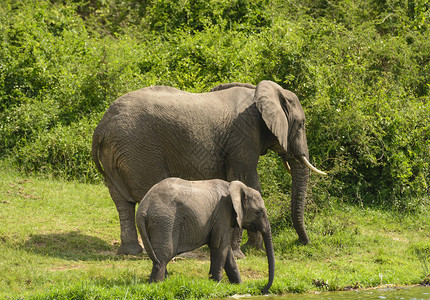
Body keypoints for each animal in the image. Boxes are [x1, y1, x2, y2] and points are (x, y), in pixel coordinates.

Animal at [91, 79, 326, 255]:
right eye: (301, 125)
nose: (302, 242)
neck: (260, 92)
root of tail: (101, 127)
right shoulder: (244, 136)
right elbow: (246, 181)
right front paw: (245, 251)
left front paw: (252, 248)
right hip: (139, 150)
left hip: (116, 152)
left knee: (122, 202)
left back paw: (130, 252)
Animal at [136, 178, 274, 292]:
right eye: (259, 212)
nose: (263, 290)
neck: (235, 187)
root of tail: (144, 206)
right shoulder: (222, 214)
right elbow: (219, 246)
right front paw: (216, 284)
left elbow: (226, 250)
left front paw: (239, 285)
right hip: (164, 221)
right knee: (164, 255)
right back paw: (157, 285)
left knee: (160, 256)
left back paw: (166, 281)